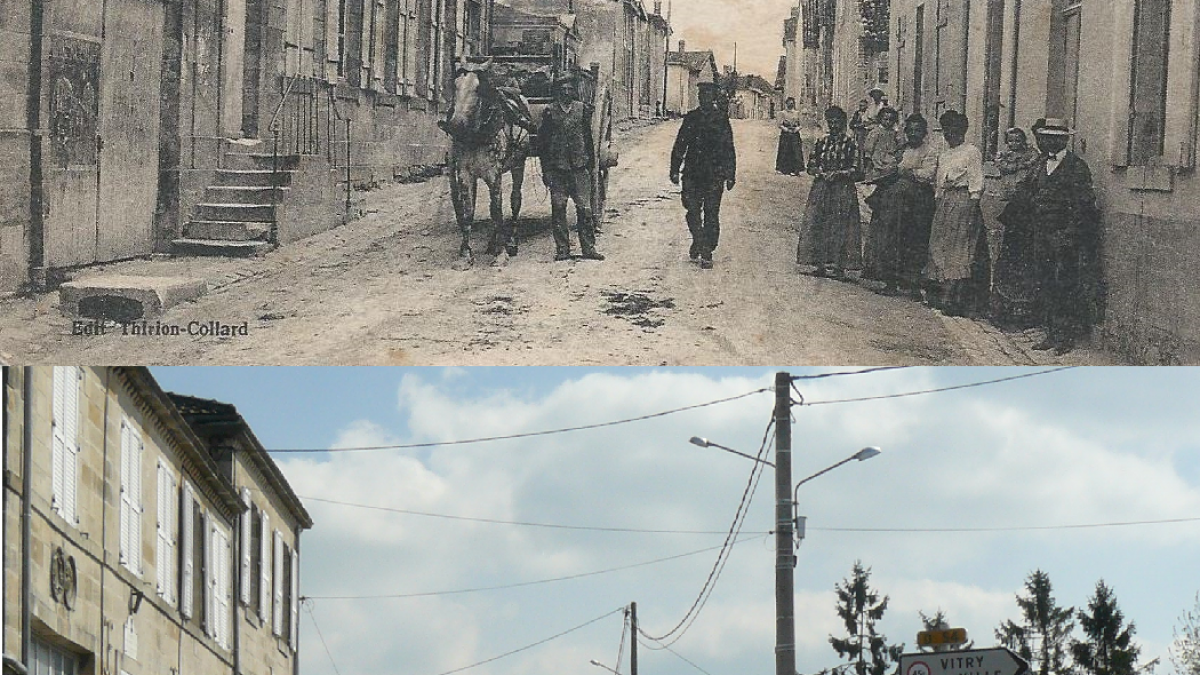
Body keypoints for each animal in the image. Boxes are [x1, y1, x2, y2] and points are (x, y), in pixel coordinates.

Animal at [439, 59, 532, 263]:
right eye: (455, 85)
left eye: (478, 89)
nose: (455, 125)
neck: (476, 136)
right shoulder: (464, 174)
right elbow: (469, 212)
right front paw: (465, 253)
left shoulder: (494, 174)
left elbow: (497, 210)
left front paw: (501, 253)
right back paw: (492, 243)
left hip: (518, 164)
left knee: (514, 200)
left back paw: (511, 240)